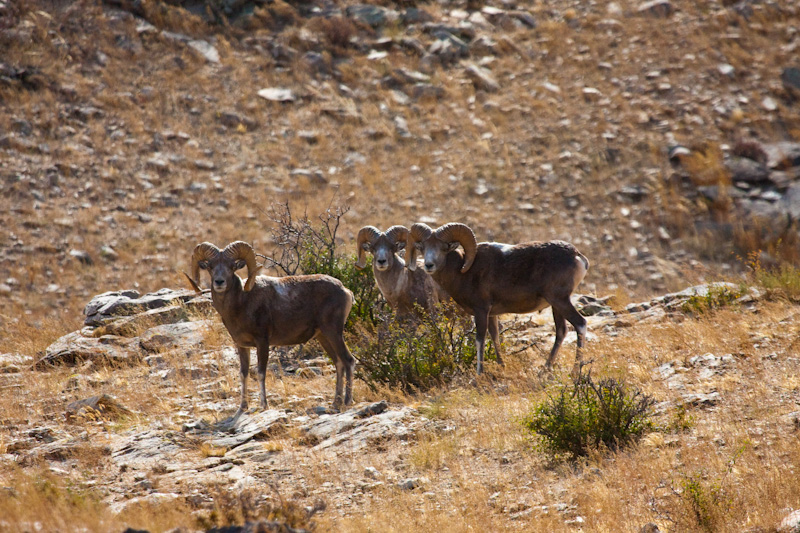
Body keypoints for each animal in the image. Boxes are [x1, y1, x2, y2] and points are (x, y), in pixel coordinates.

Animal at [186, 240, 354, 412]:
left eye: (232, 266)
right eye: (210, 266)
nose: (219, 282)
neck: (242, 302)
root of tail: (346, 291)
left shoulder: (262, 342)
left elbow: (261, 373)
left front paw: (263, 405)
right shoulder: (242, 346)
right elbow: (243, 374)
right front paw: (243, 407)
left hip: (333, 333)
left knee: (348, 360)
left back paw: (347, 401)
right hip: (323, 337)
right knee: (339, 363)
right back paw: (336, 403)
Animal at [406, 222, 588, 376]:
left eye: (444, 248)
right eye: (422, 247)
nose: (429, 265)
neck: (463, 271)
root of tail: (578, 256)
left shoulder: (481, 310)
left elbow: (480, 339)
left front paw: (479, 373)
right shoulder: (492, 314)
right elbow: (495, 336)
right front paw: (502, 366)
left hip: (560, 300)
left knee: (580, 324)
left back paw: (574, 372)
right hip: (556, 305)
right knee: (561, 332)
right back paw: (544, 371)